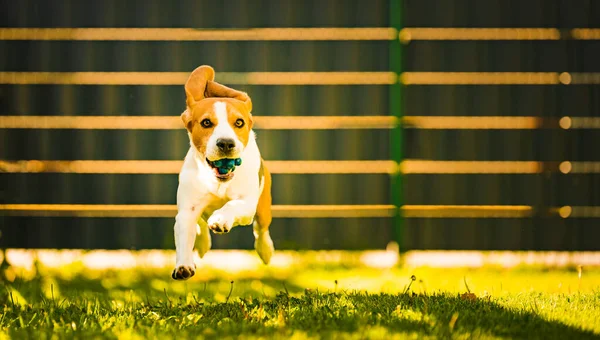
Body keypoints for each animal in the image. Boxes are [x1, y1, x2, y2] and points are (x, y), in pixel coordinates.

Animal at [171, 65, 274, 280]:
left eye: (239, 123)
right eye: (206, 123)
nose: (226, 143)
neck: (218, 180)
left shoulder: (247, 205)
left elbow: (232, 205)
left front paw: (220, 219)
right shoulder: (186, 211)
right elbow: (184, 234)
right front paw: (183, 265)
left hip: (262, 208)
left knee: (261, 230)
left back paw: (266, 250)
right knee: (200, 226)